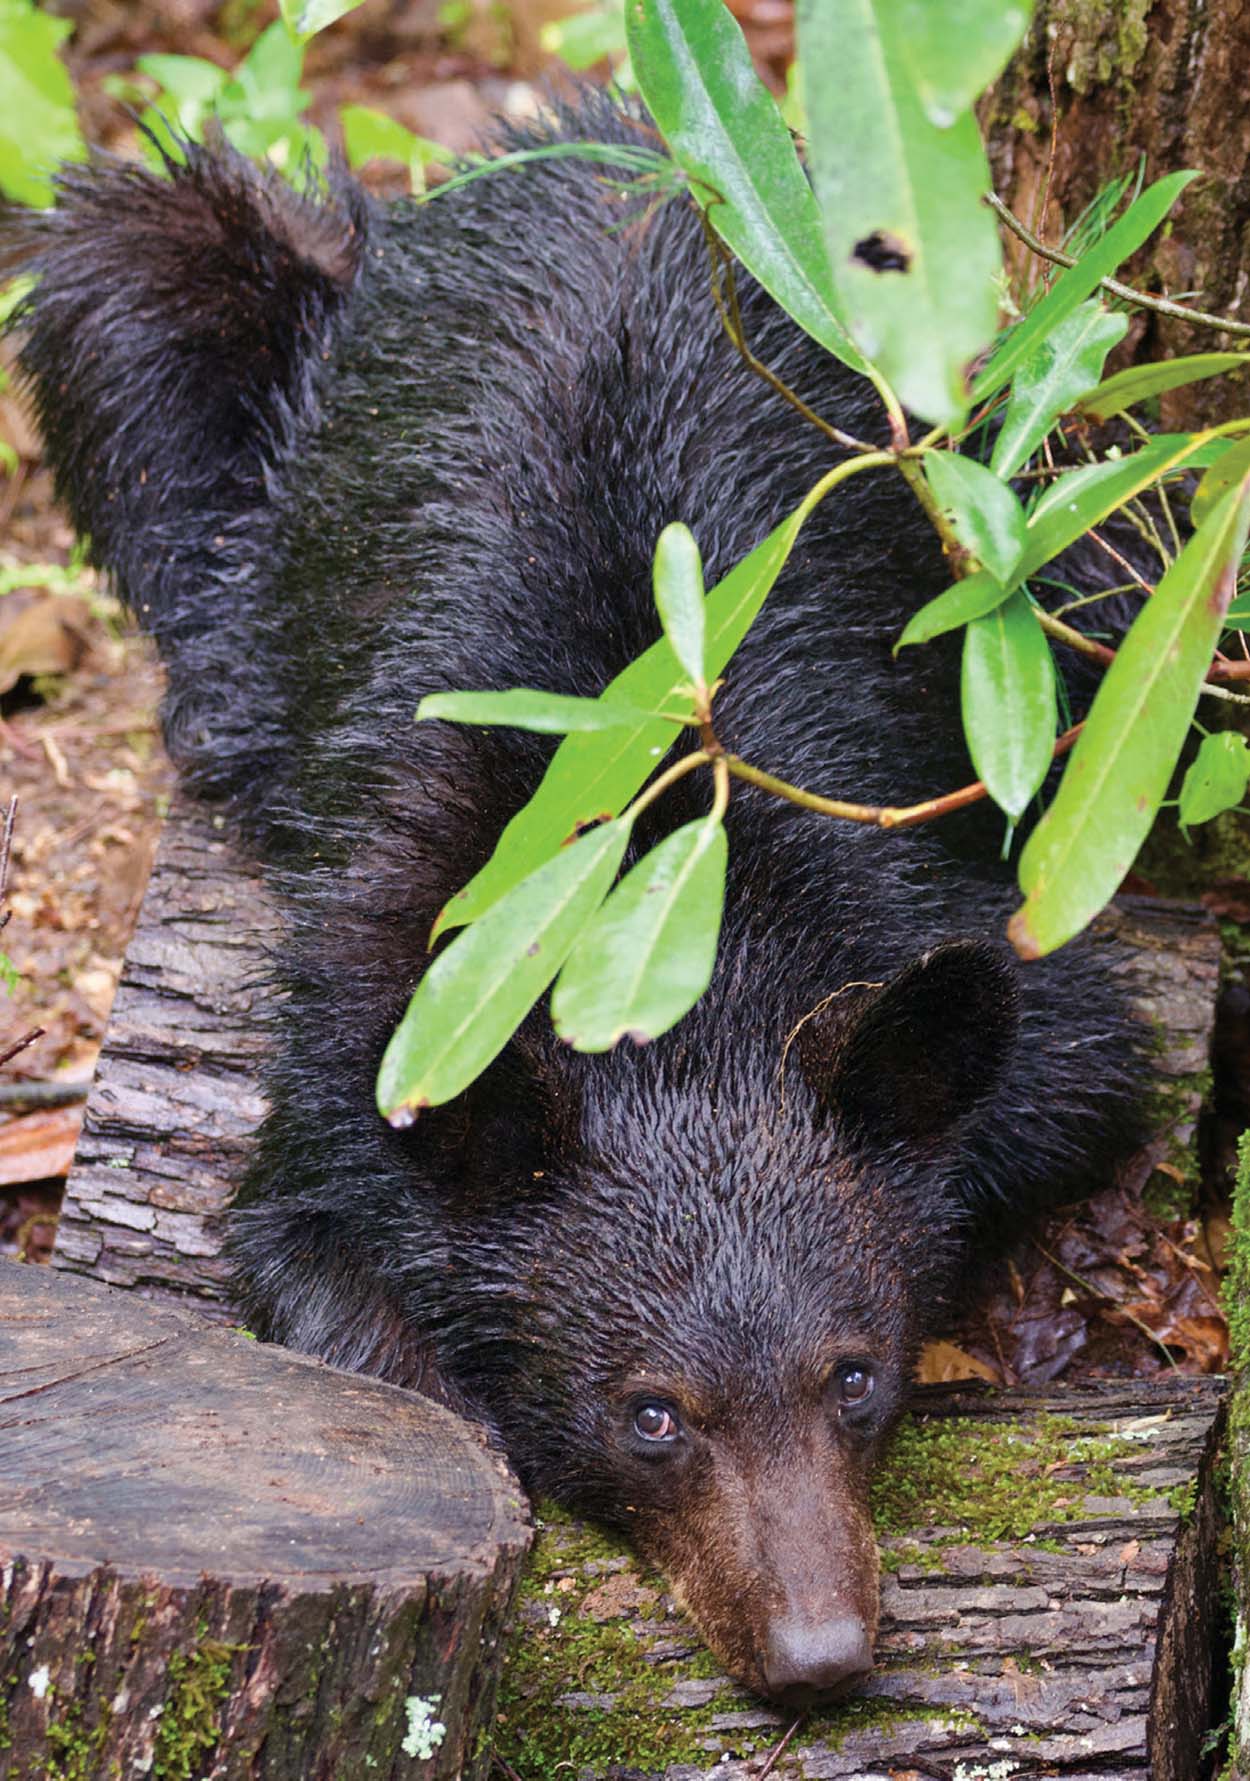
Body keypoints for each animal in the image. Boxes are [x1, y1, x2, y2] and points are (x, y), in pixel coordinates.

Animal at [4, 89, 1143, 1704]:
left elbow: (1068, 1086)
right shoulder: (384, 986)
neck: (668, 933)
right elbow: (303, 1245)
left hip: (1041, 485)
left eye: (853, 1376)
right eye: (649, 1413)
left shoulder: (989, 936)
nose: (816, 1654)